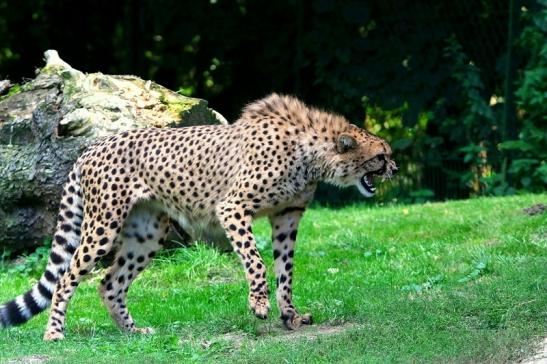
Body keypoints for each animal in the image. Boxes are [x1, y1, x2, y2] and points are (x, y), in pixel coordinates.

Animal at [0, 93, 396, 338]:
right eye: (381, 156)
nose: (394, 168)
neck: (311, 153)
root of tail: (91, 146)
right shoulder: (233, 207)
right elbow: (256, 261)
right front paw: (259, 305)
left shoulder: (287, 216)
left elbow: (286, 271)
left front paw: (291, 316)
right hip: (103, 227)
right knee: (67, 277)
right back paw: (55, 333)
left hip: (147, 234)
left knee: (110, 283)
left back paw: (133, 332)